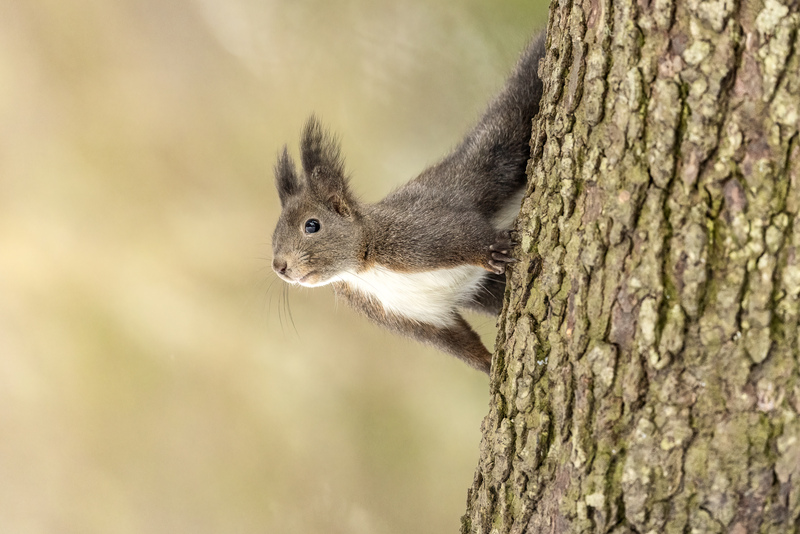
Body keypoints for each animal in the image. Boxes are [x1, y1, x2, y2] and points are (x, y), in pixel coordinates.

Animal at [272, 32, 548, 376]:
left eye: (312, 225)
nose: (279, 266)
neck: (364, 269)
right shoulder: (413, 316)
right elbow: (456, 341)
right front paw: (490, 366)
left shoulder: (414, 233)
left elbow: (463, 231)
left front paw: (490, 250)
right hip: (486, 291)